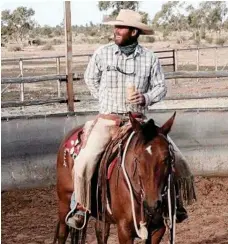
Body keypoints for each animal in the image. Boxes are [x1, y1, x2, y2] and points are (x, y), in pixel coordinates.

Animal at [53, 112, 176, 244]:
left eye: (167, 158)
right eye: (137, 159)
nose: (153, 204)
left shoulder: (158, 229)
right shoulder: (124, 230)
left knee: (101, 232)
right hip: (64, 201)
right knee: (62, 233)